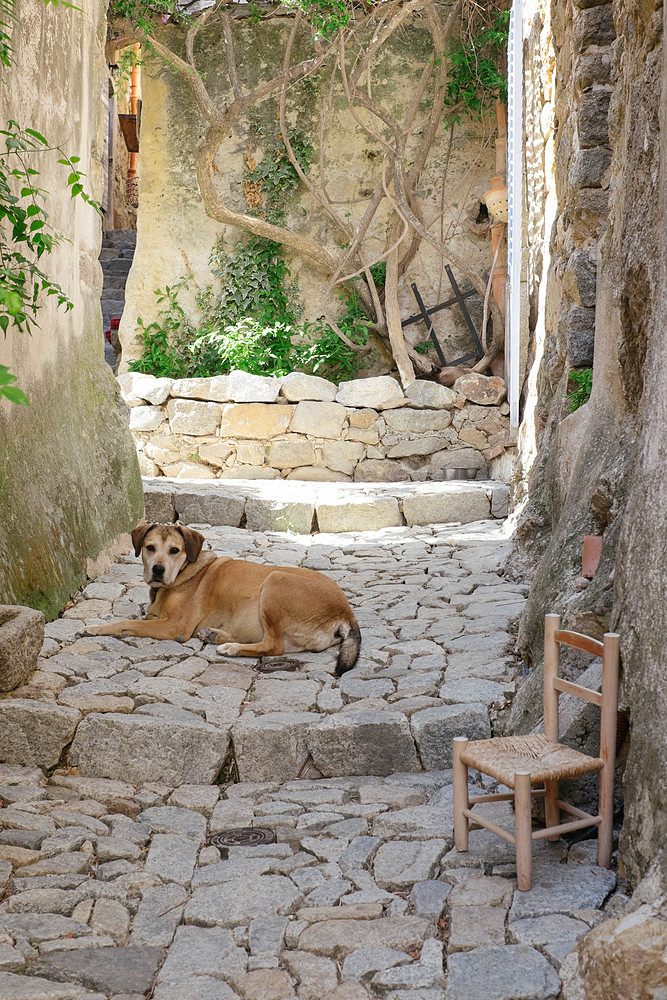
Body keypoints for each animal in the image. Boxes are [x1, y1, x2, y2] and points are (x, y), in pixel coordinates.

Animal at [87, 524, 362, 680]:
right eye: (149, 547)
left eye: (175, 550)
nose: (157, 570)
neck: (183, 573)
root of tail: (347, 613)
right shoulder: (156, 616)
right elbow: (136, 619)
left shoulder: (174, 626)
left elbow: (127, 623)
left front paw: (95, 628)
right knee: (279, 645)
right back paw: (217, 636)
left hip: (275, 581)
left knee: (273, 646)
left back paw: (231, 648)